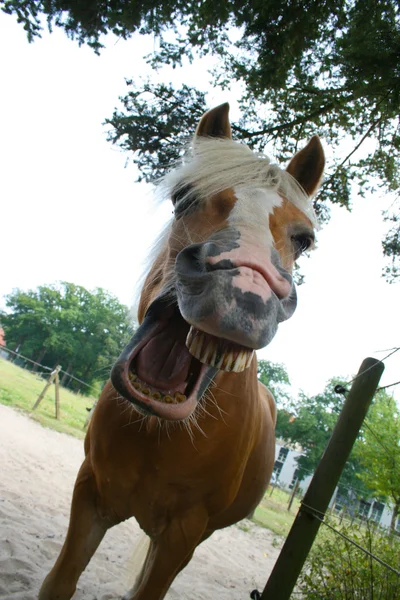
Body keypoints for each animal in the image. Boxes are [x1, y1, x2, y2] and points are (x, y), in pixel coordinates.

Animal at [38, 103, 324, 600]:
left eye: (304, 239)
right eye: (183, 197)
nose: (243, 294)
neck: (158, 433)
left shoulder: (183, 535)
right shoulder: (91, 491)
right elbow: (58, 583)